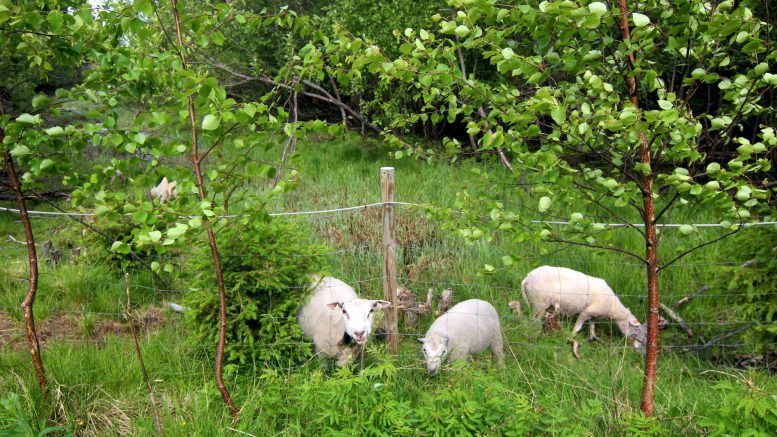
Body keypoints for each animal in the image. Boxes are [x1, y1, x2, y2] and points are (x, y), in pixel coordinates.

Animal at [520, 264, 648, 356]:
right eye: (637, 329)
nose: (637, 350)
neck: (613, 308)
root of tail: (527, 278)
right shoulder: (585, 312)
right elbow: (577, 328)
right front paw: (571, 338)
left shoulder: (593, 315)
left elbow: (592, 329)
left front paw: (594, 339)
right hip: (539, 303)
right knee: (534, 321)